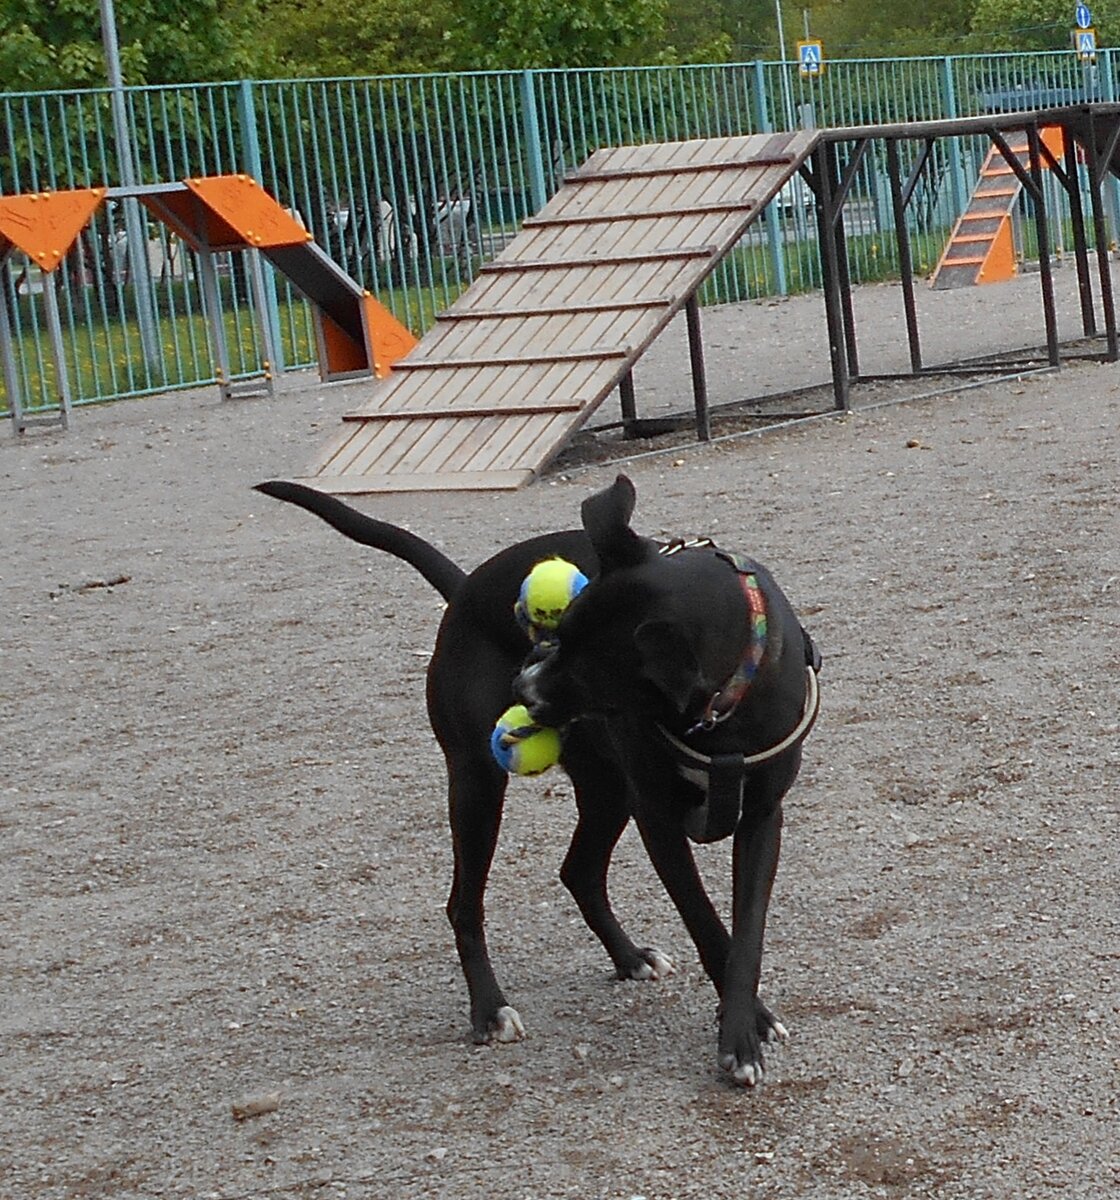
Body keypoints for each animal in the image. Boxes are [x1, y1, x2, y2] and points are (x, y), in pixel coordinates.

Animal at [253, 472, 816, 1084]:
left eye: (592, 672)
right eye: (556, 631)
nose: (521, 688)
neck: (721, 711)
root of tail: (466, 590)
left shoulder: (761, 820)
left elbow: (746, 934)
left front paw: (746, 1020)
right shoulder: (659, 821)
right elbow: (709, 926)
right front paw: (743, 1033)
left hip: (607, 792)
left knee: (579, 873)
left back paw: (628, 959)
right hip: (477, 786)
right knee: (464, 903)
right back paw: (489, 1009)